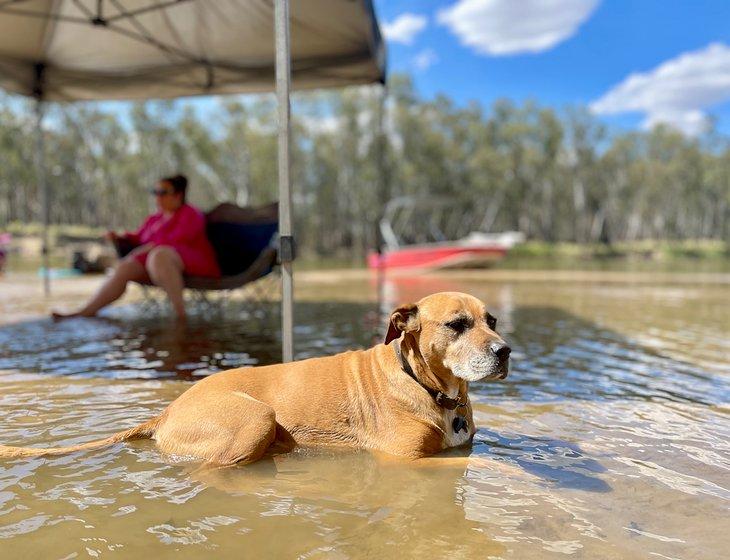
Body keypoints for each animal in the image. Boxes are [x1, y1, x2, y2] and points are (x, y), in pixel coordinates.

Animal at [0, 290, 506, 466]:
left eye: (493, 320)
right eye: (456, 325)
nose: (505, 352)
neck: (433, 389)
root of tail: (168, 410)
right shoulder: (407, 460)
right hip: (255, 418)